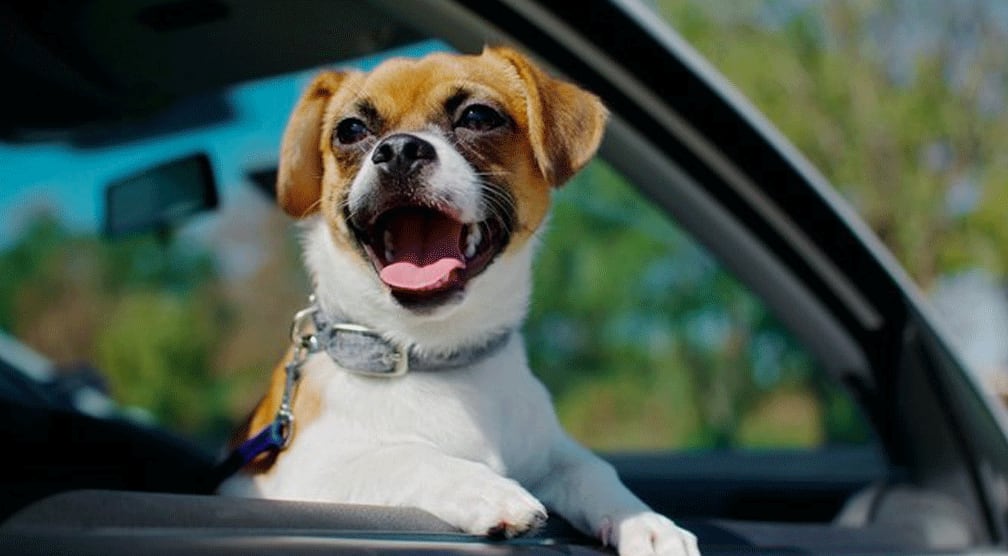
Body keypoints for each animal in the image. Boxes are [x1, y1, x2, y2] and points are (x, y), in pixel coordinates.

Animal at [222, 46, 701, 556]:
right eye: (349, 130)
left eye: (478, 117)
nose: (398, 150)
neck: (438, 356)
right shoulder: (296, 475)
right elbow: (404, 455)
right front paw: (487, 489)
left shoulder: (552, 451)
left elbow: (594, 468)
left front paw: (648, 523)